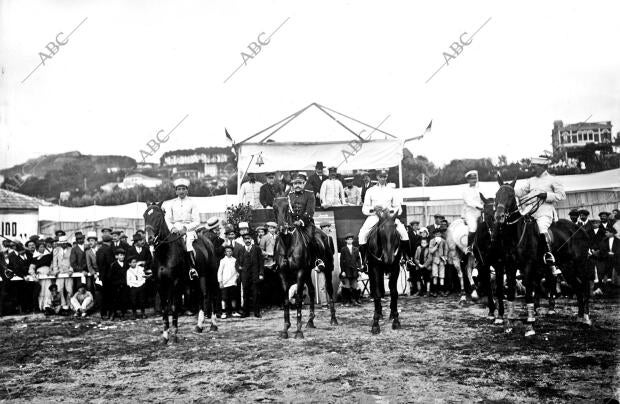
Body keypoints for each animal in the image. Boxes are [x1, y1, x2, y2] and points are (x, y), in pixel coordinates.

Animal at [272, 197, 336, 340]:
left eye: (287, 208)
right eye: (274, 208)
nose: (282, 228)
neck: (288, 243)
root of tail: (325, 235)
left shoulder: (300, 272)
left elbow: (299, 300)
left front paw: (298, 331)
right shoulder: (283, 274)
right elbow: (286, 300)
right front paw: (285, 329)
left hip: (327, 269)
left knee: (329, 289)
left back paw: (333, 319)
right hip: (307, 272)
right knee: (312, 291)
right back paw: (310, 321)